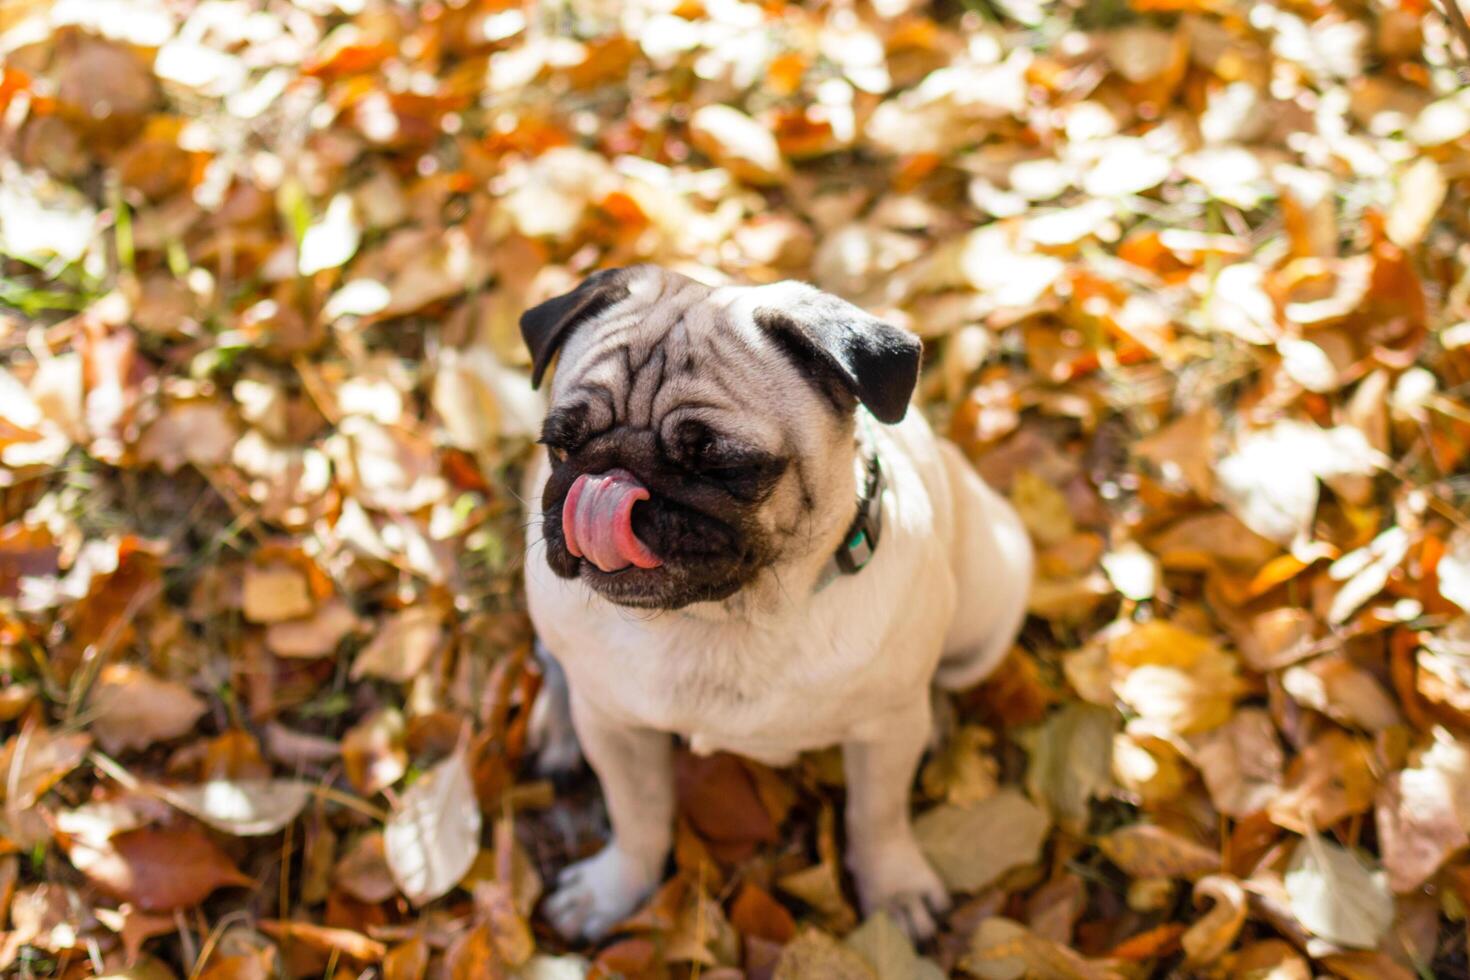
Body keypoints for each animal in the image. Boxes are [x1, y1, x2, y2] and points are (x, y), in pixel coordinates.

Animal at [517, 264, 1034, 940]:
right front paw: (615, 890)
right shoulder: (617, 729)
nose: (612, 477)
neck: (720, 619)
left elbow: (878, 818)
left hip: (989, 606)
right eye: (562, 444)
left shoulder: (884, 736)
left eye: (725, 468)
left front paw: (895, 893)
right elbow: (638, 814)